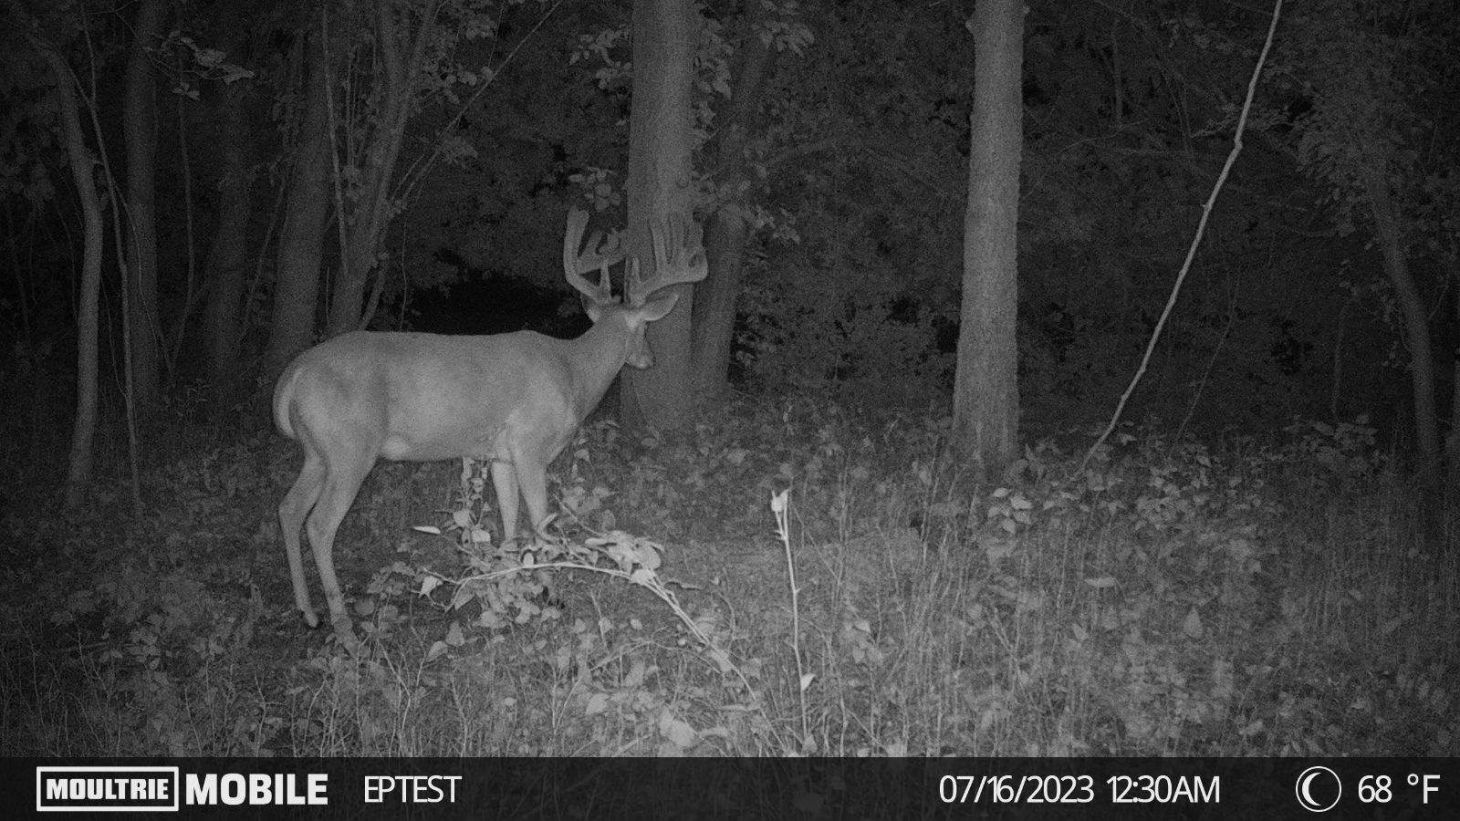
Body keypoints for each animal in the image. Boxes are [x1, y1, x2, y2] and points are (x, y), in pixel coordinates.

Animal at [272, 208, 707, 642]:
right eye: (646, 328)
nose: (649, 359)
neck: (574, 373)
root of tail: (292, 376)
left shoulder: (500, 455)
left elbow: (510, 520)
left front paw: (507, 582)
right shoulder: (531, 443)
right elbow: (540, 521)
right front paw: (551, 593)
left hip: (318, 452)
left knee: (289, 508)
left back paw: (307, 612)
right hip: (350, 449)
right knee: (319, 524)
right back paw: (344, 630)